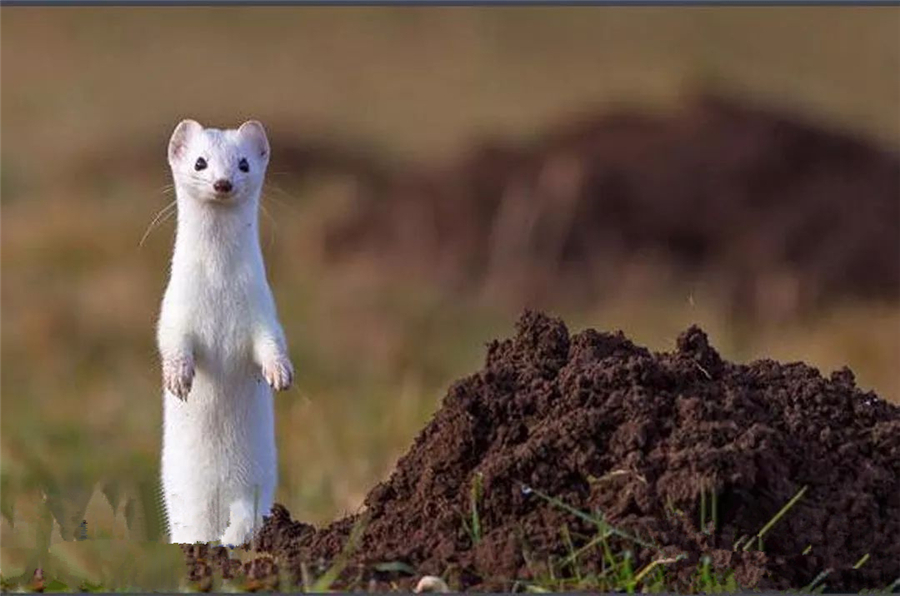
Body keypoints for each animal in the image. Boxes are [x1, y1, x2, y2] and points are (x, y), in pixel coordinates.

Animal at [156, 118, 294, 548]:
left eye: (244, 163)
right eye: (200, 161)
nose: (222, 182)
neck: (219, 288)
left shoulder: (262, 310)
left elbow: (271, 343)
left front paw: (279, 372)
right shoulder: (175, 308)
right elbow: (171, 340)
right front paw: (179, 377)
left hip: (255, 489)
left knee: (245, 518)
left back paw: (233, 537)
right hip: (187, 510)